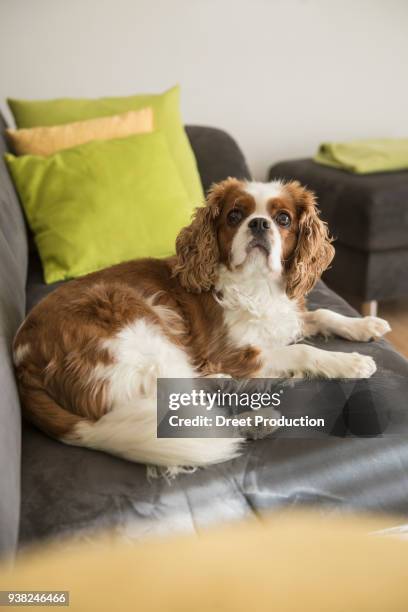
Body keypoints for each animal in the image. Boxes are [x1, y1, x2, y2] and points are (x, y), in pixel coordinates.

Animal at [12, 177, 388, 468]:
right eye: (235, 215)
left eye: (283, 218)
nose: (259, 224)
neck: (257, 284)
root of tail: (22, 359)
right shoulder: (230, 352)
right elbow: (303, 352)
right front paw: (352, 363)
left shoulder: (284, 318)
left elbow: (322, 314)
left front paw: (365, 325)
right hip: (143, 330)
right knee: (180, 417)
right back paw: (257, 418)